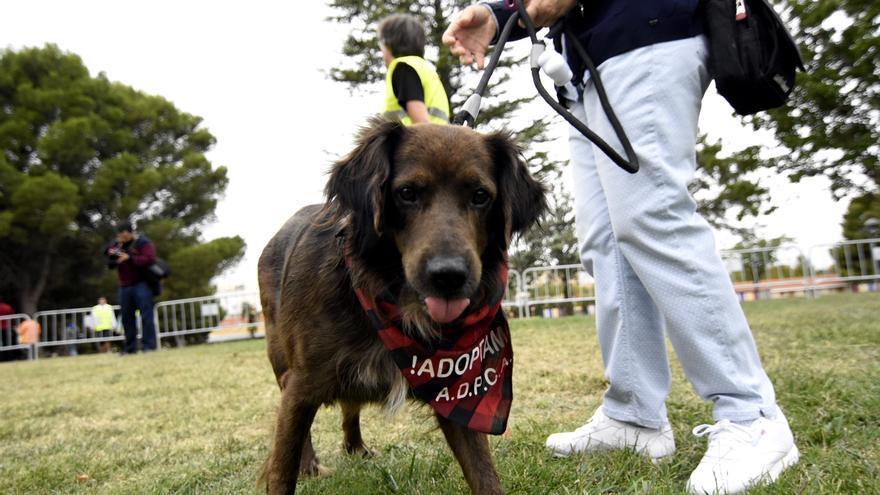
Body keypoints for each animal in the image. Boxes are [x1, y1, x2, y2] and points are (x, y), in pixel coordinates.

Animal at [258, 118, 548, 494]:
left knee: (350, 405)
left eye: (480, 196)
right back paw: (310, 463)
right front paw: (297, 465)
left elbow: (484, 474)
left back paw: (356, 447)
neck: (394, 302)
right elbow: (282, 467)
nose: (448, 276)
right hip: (281, 358)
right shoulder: (300, 386)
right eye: (407, 193)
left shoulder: (457, 394)